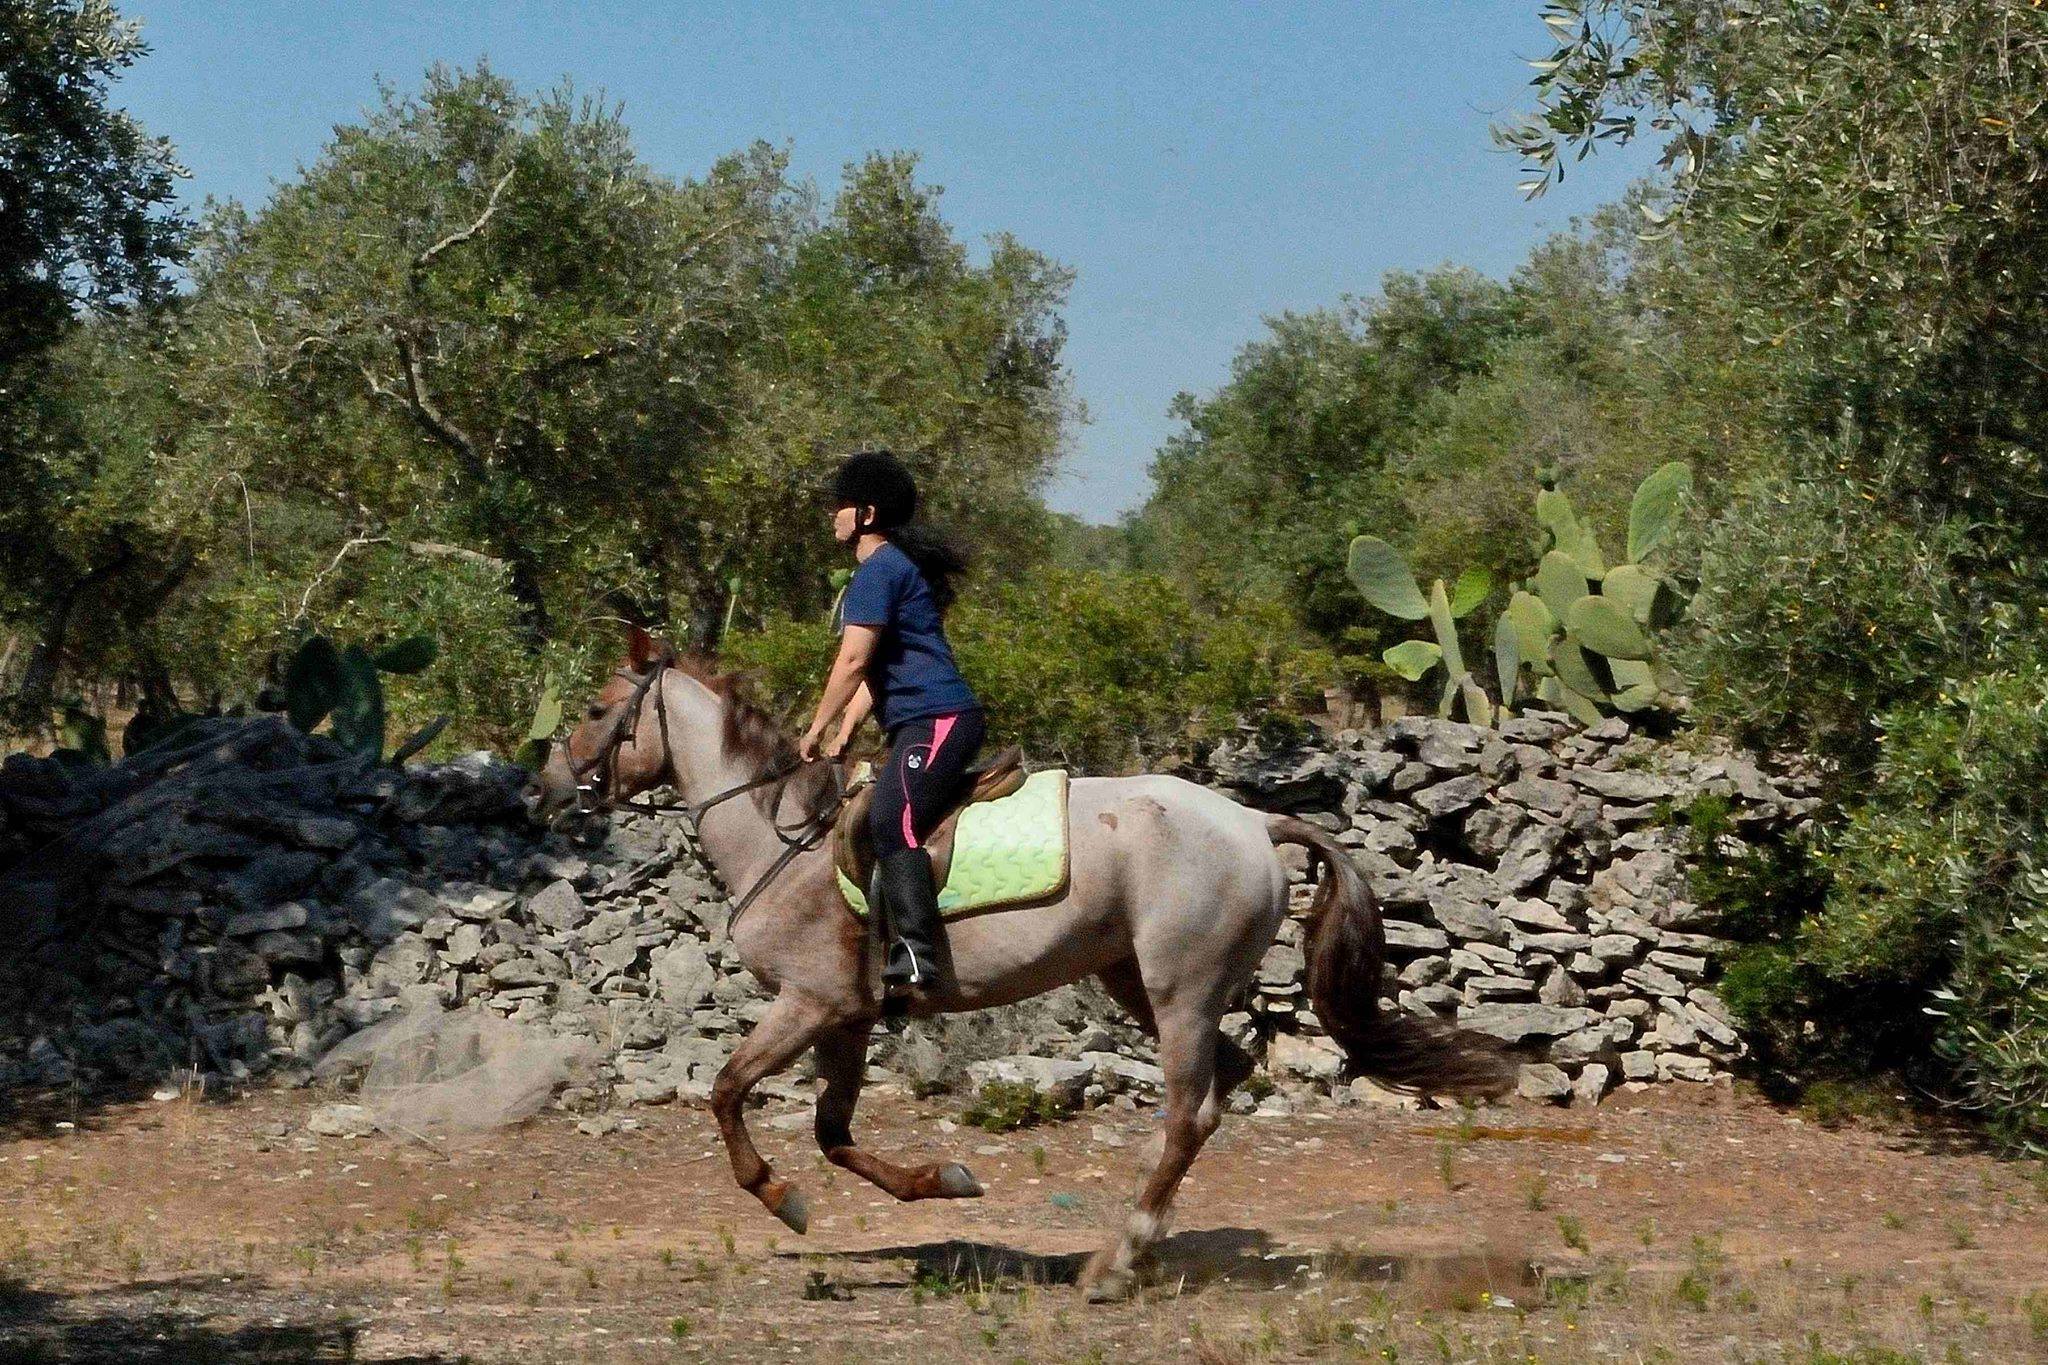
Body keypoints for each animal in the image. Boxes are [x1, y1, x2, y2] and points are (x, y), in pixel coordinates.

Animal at [536, 634, 1515, 1301]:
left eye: (590, 708)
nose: (546, 790)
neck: (786, 838)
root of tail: (1252, 821)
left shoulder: (808, 1003)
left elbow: (729, 1094)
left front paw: (785, 1201)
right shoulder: (847, 1014)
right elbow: (834, 1132)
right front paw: (943, 1180)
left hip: (1180, 988)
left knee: (1189, 1111)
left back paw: (1116, 1259)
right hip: (1134, 978)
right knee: (1225, 1083)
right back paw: (1144, 1245)